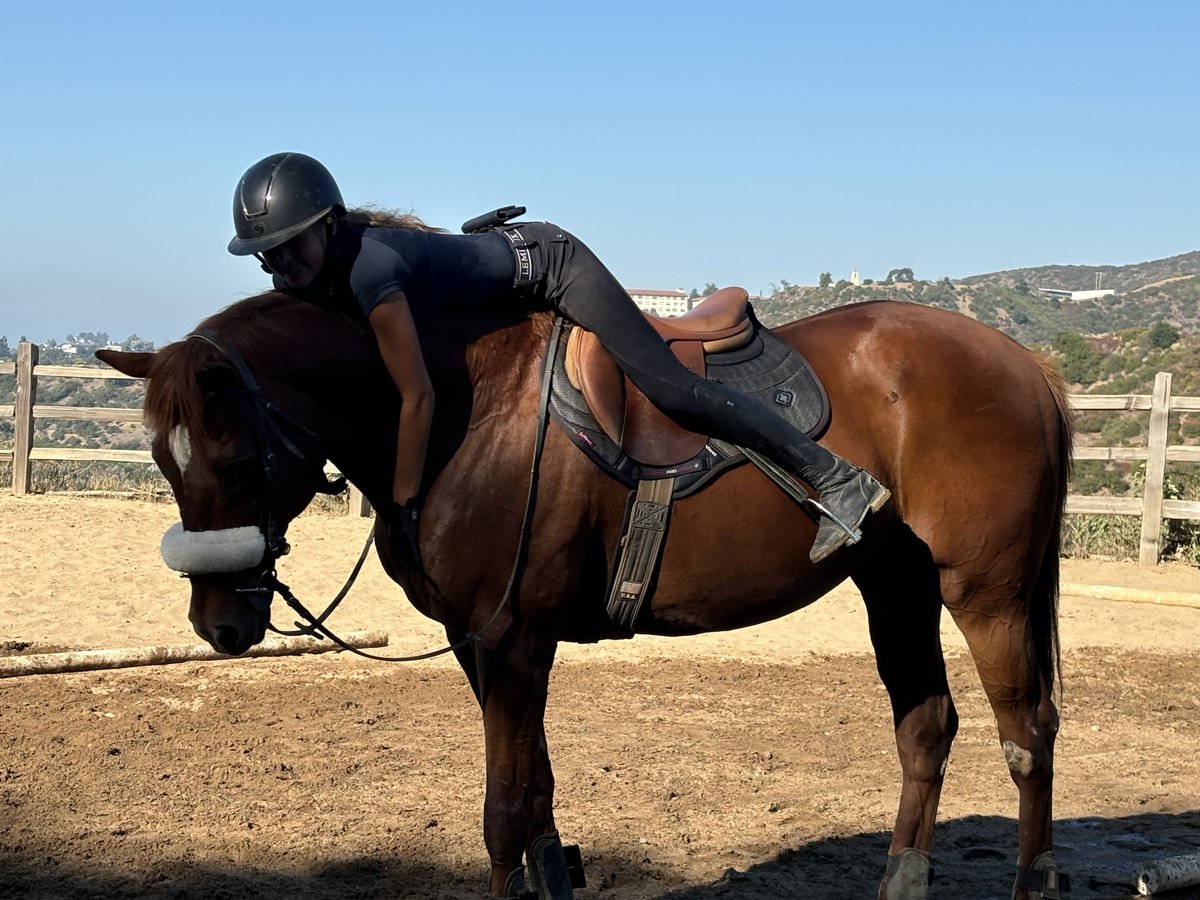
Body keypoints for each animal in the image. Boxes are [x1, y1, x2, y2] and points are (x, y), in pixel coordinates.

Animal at [103, 292, 1075, 897]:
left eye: (235, 459)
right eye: (161, 460)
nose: (219, 623)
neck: (463, 408)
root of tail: (1025, 362)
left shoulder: (515, 642)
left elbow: (506, 813)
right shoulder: (484, 647)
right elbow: (537, 798)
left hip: (985, 595)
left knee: (1029, 736)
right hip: (897, 586)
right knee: (927, 727)